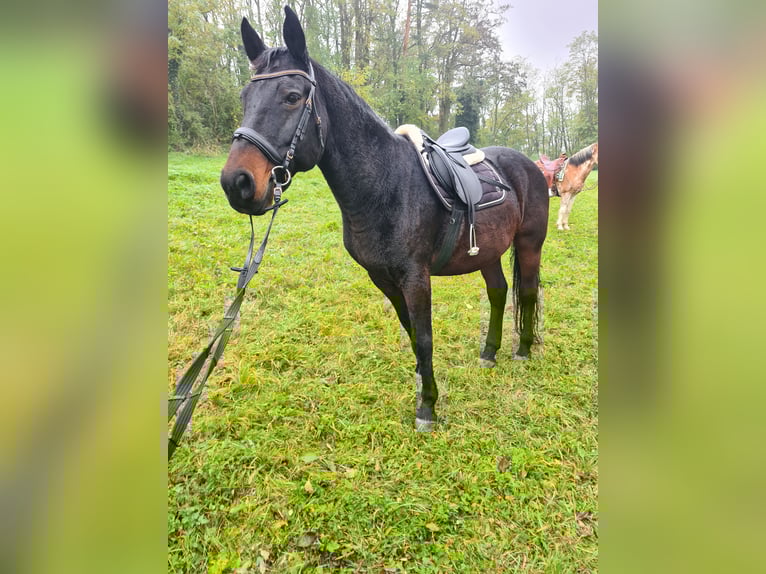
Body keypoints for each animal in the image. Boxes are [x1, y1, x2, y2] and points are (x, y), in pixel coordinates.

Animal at [219, 7, 549, 431]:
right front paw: (422, 382)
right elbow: (410, 333)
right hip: (488, 251)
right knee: (498, 291)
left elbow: (424, 336)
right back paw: (489, 352)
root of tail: (527, 164)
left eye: (292, 97)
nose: (237, 183)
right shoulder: (384, 279)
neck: (386, 184)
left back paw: (522, 350)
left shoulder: (415, 277)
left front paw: (427, 407)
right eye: (245, 97)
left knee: (527, 292)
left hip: (529, 244)